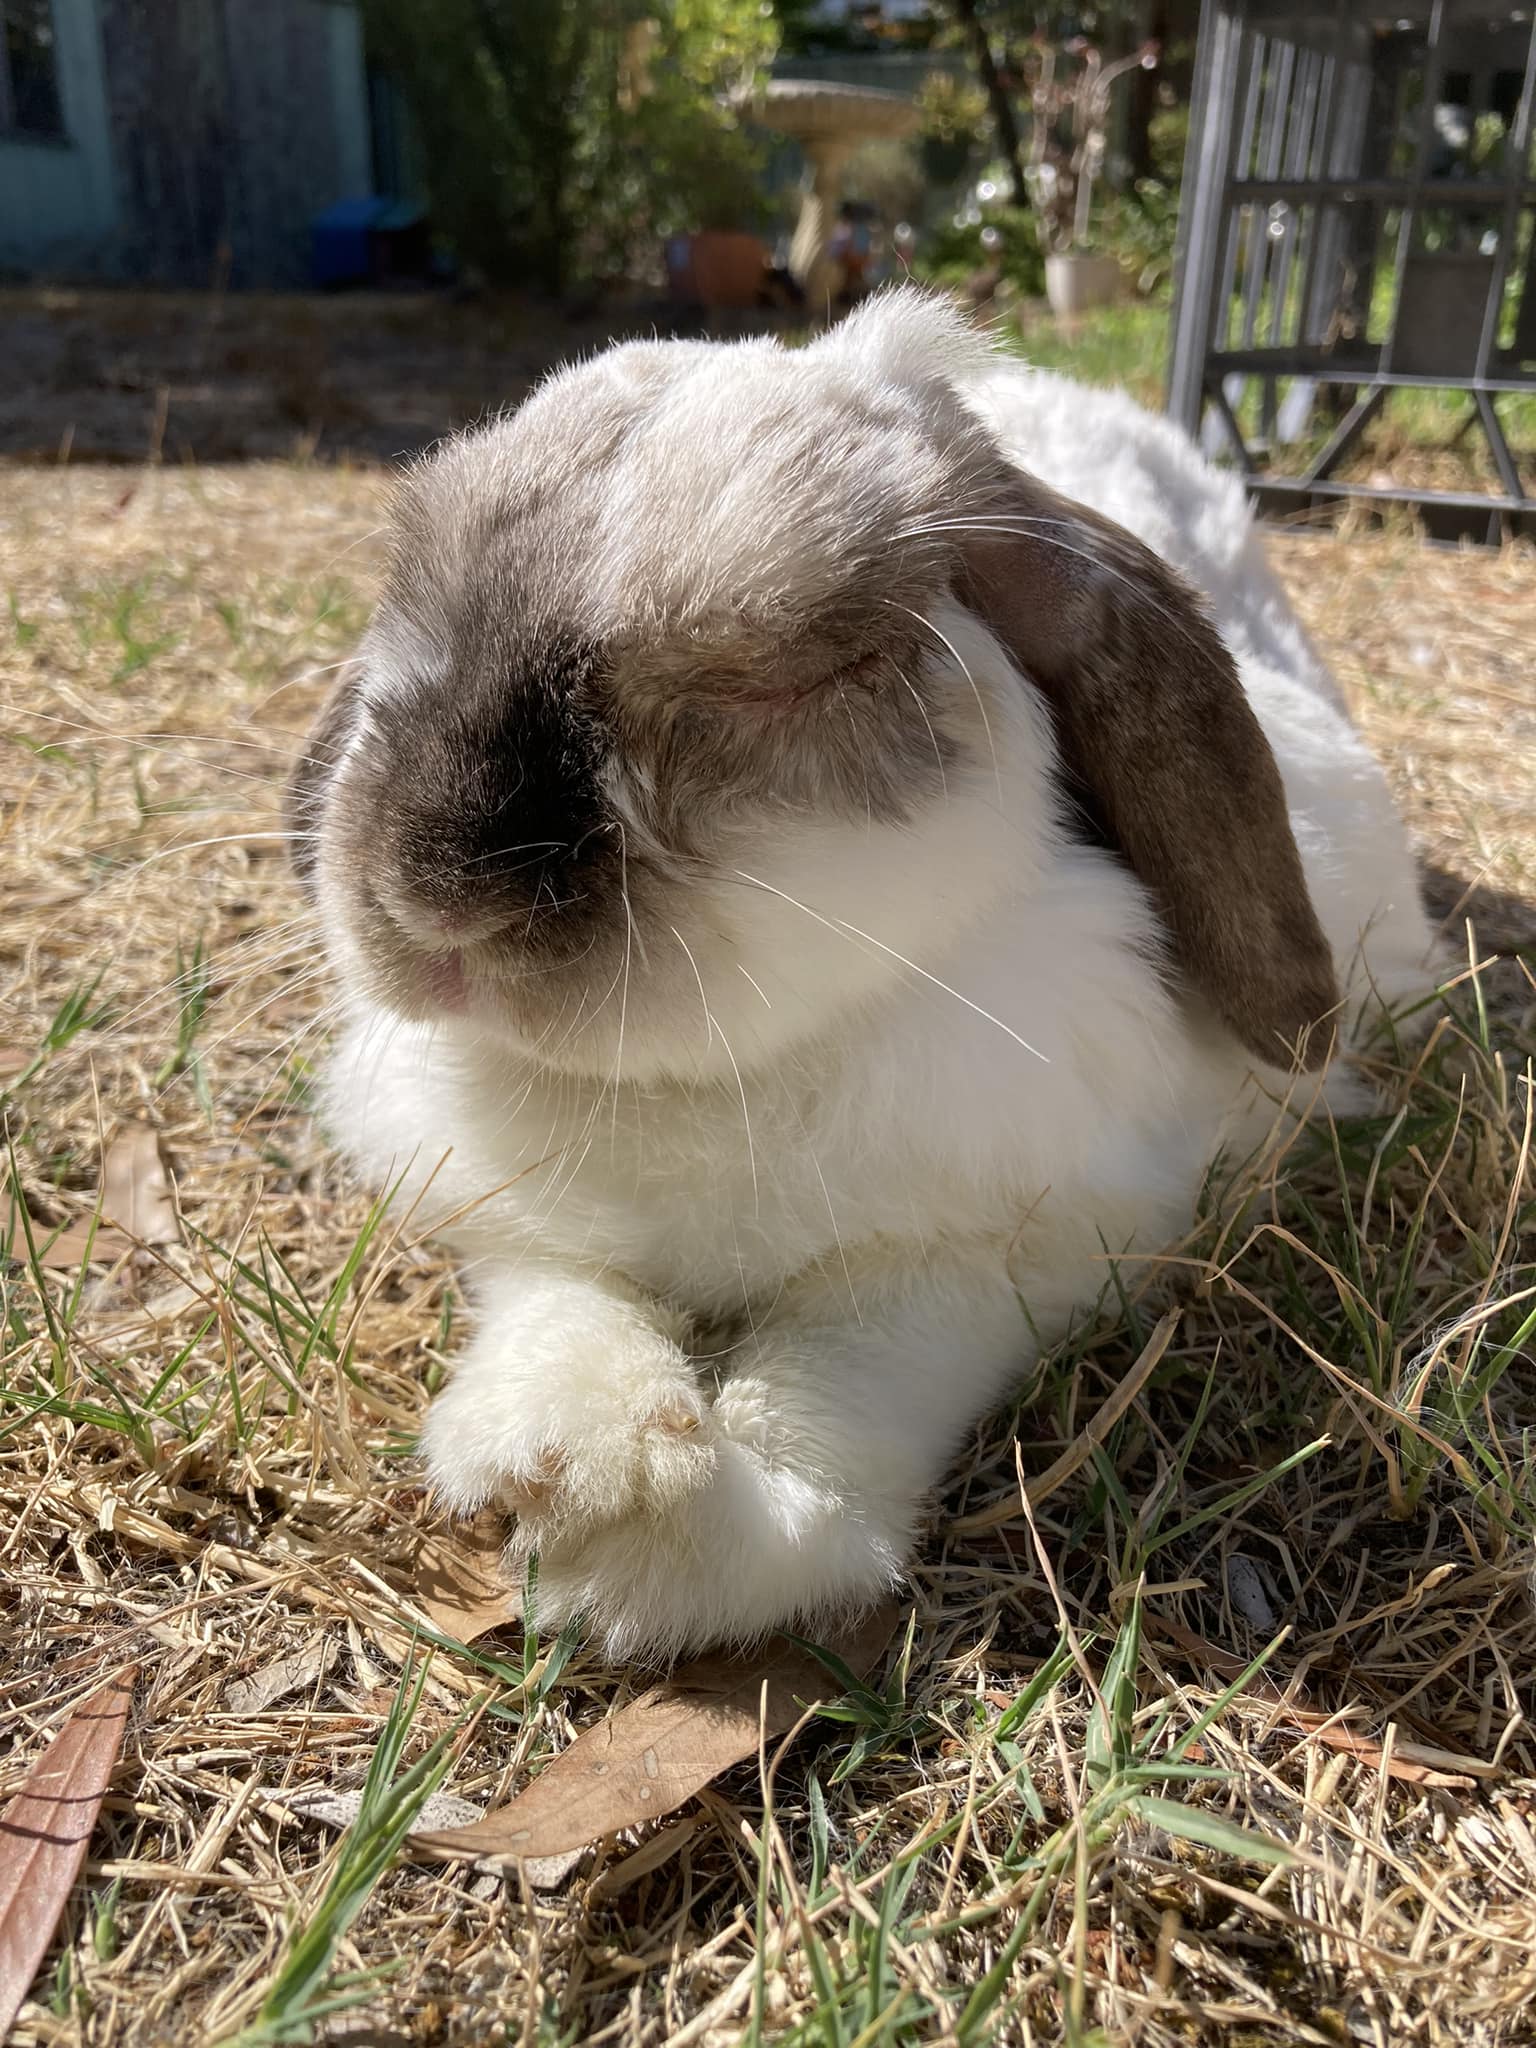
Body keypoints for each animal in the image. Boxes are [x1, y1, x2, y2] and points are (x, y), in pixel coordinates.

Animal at [287, 290, 1435, 1662]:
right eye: (413, 606)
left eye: (809, 670)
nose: (436, 896)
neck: (712, 1084)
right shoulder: (508, 1214)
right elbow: (564, 1296)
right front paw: (573, 1452)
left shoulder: (1002, 1257)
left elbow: (835, 1391)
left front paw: (657, 1548)